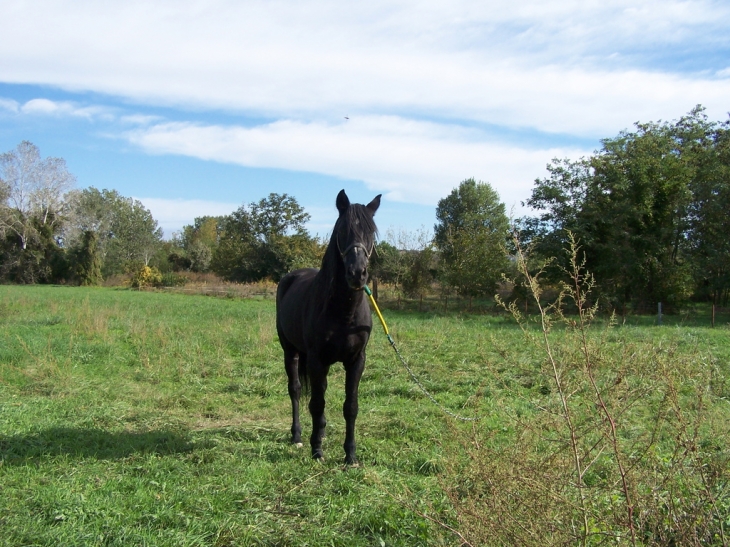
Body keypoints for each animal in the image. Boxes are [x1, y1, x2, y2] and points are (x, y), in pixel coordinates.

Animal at [274, 191, 382, 464]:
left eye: (371, 231)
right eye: (342, 230)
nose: (357, 274)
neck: (343, 311)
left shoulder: (356, 360)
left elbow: (350, 406)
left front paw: (350, 455)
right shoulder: (316, 360)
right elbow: (316, 403)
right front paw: (317, 451)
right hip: (290, 351)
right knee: (296, 390)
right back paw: (298, 436)